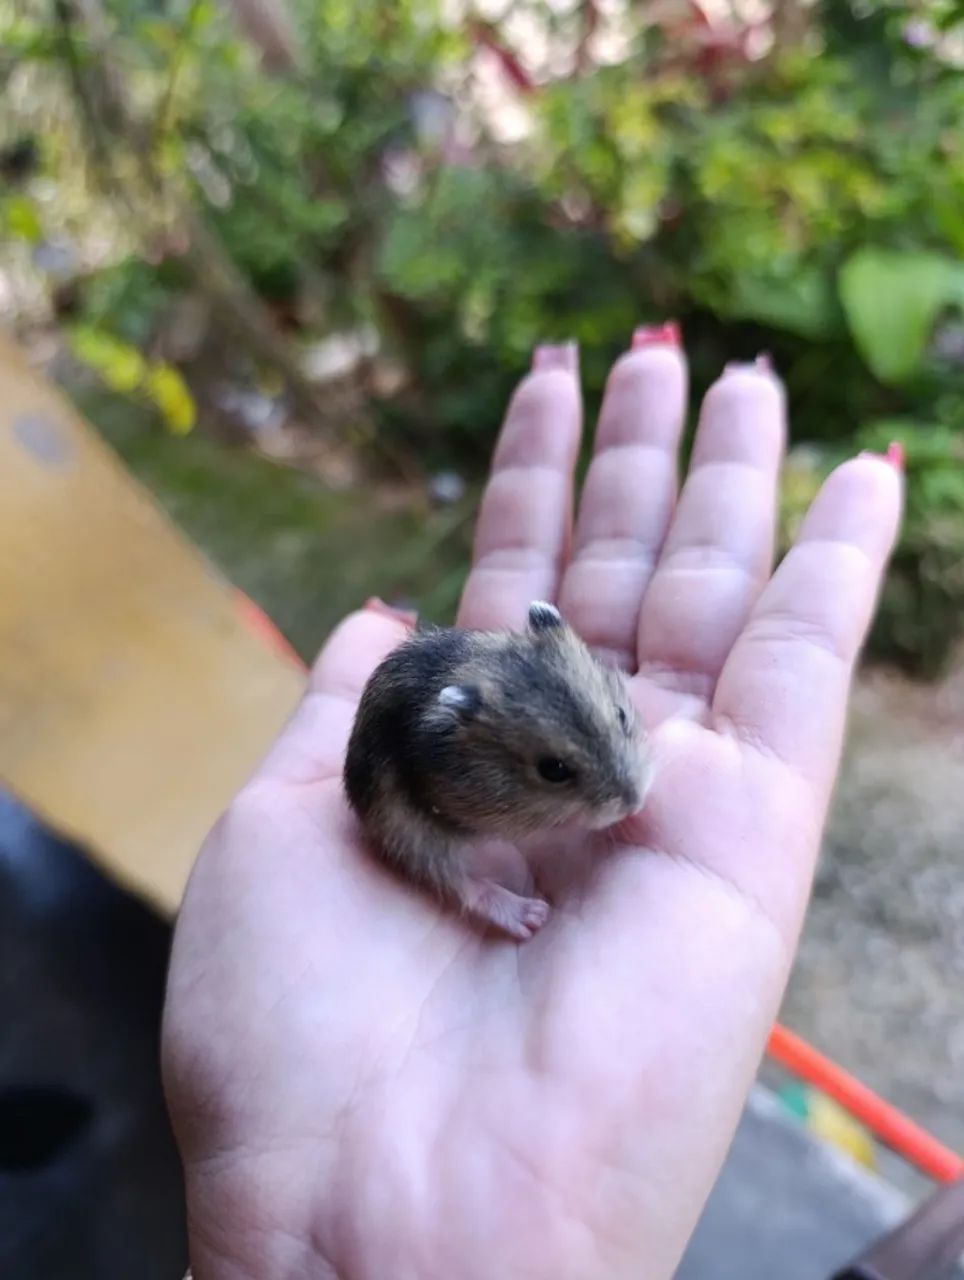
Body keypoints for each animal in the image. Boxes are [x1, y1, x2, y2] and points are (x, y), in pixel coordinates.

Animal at [344, 601, 650, 940]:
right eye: (553, 770)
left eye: (621, 715)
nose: (635, 804)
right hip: (405, 828)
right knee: (459, 883)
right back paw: (528, 916)